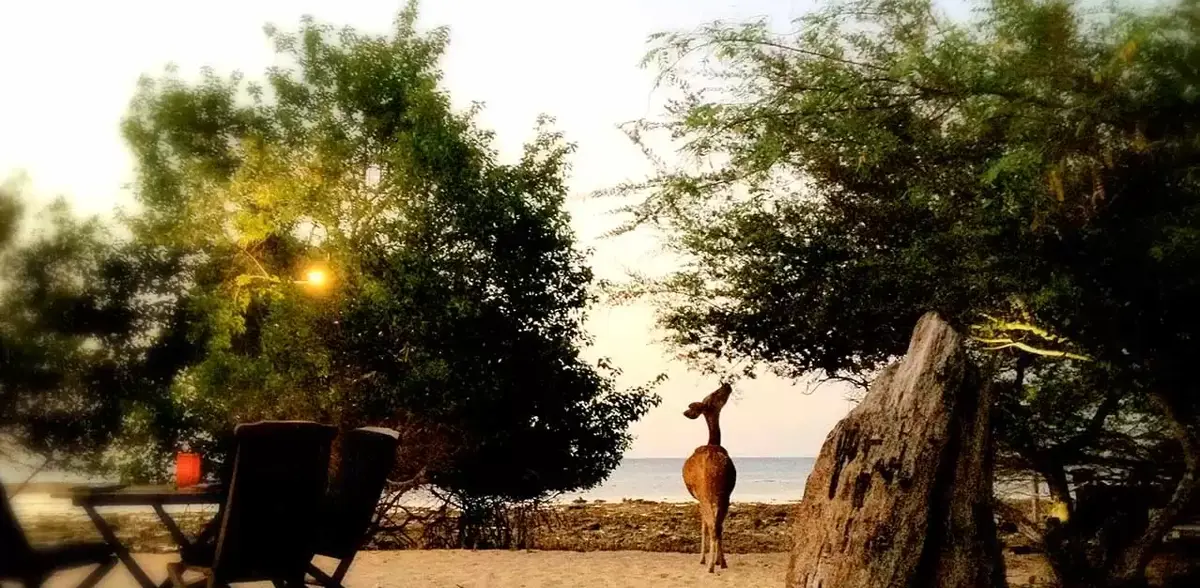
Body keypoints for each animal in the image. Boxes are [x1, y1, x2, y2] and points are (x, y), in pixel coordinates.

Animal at [682, 382, 737, 573]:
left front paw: (703, 559)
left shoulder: (699, 497)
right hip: (724, 494)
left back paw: (712, 565)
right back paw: (722, 562)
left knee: (713, 525)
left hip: (706, 492)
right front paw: (717, 560)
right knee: (718, 526)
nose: (726, 384)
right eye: (713, 395)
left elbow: (704, 525)